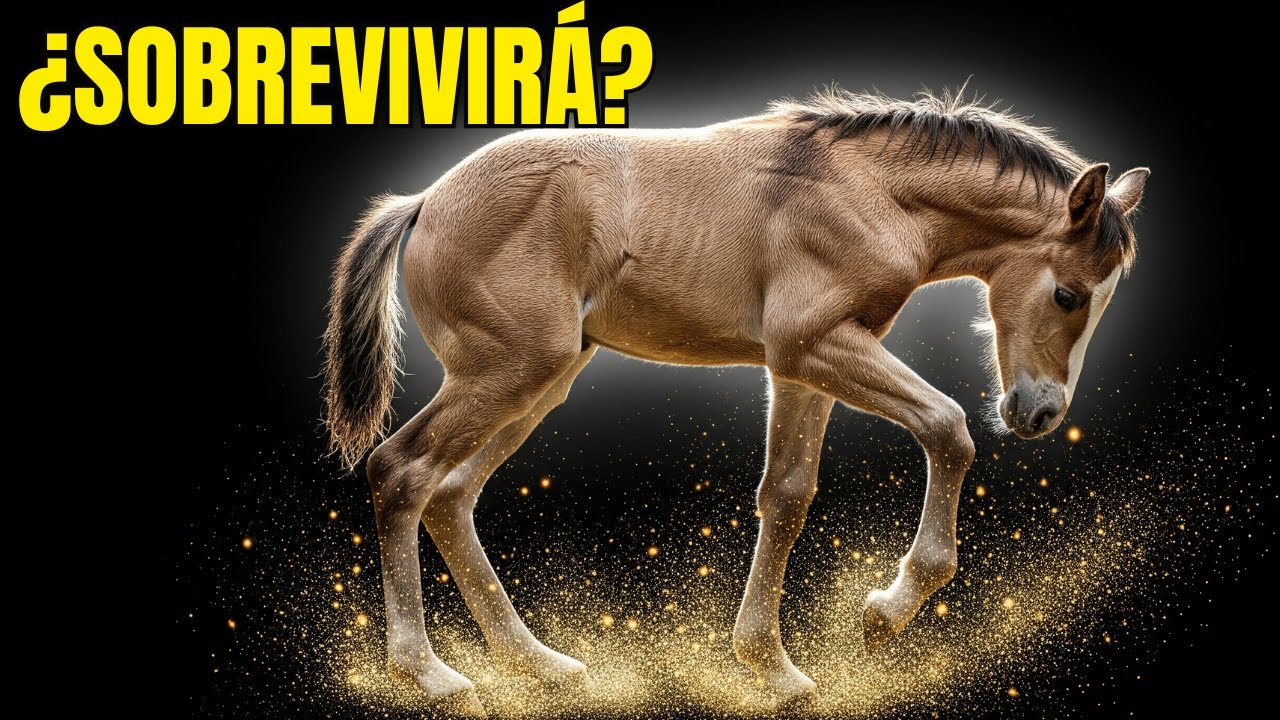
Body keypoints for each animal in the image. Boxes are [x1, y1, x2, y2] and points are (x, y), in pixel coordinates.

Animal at [322, 87, 1148, 711]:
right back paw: (429, 674)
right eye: (1069, 293)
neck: (870, 190)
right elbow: (946, 428)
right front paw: (885, 613)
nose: (1040, 412)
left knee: (451, 493)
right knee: (401, 471)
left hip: (539, 381)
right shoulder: (813, 345)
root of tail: (424, 201)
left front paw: (772, 668)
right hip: (507, 372)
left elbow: (785, 495)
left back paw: (539, 665)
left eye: (1106, 298)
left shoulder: (801, 369)